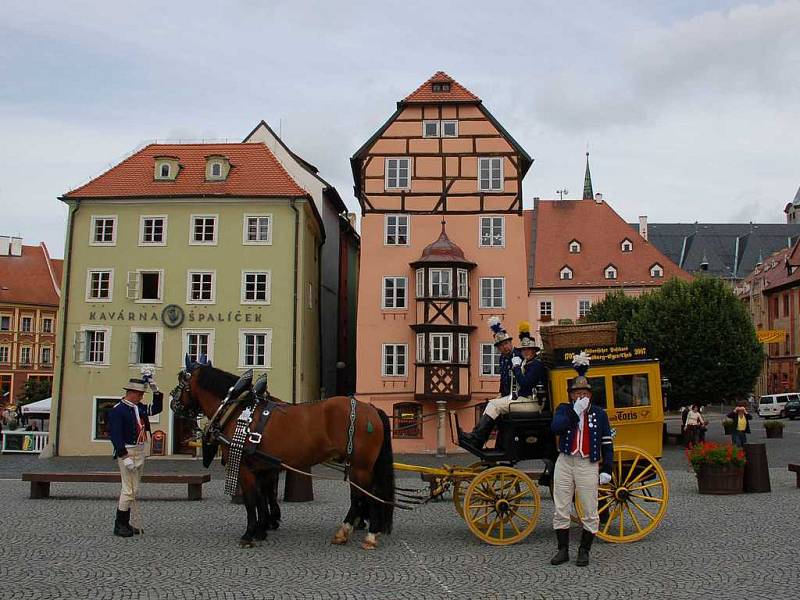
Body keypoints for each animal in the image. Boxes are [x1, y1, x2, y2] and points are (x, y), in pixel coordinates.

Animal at [170, 360, 396, 548]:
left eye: (181, 382)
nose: (173, 403)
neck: (238, 410)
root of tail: (372, 409)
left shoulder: (244, 467)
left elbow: (251, 500)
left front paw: (249, 534)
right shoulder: (262, 468)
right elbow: (262, 498)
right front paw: (262, 528)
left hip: (361, 466)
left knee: (367, 495)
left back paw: (367, 534)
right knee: (361, 496)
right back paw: (350, 531)